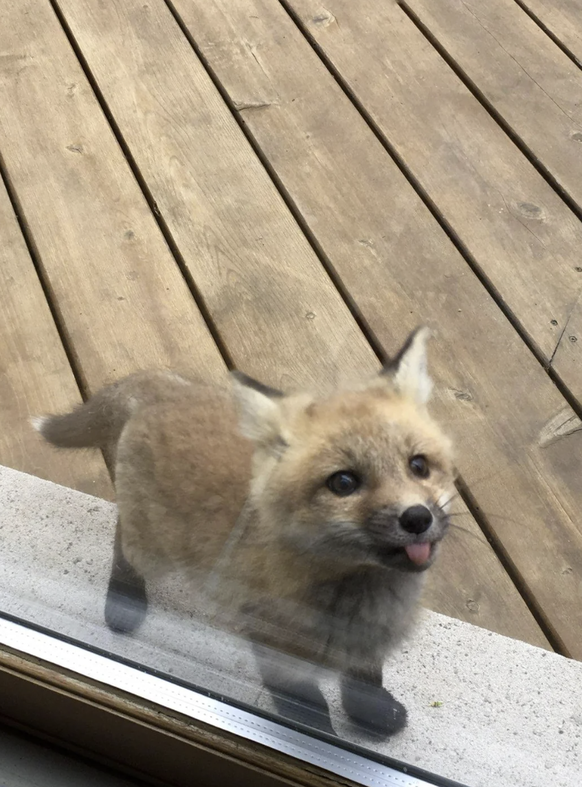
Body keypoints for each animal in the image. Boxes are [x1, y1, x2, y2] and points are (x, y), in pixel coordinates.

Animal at [33, 327, 455, 738]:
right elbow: (310, 711)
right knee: (123, 542)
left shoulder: (368, 645)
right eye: (344, 483)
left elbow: (364, 680)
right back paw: (124, 600)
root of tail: (164, 388)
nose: (417, 518)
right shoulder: (276, 649)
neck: (358, 597)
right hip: (153, 551)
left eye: (418, 465)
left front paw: (372, 713)